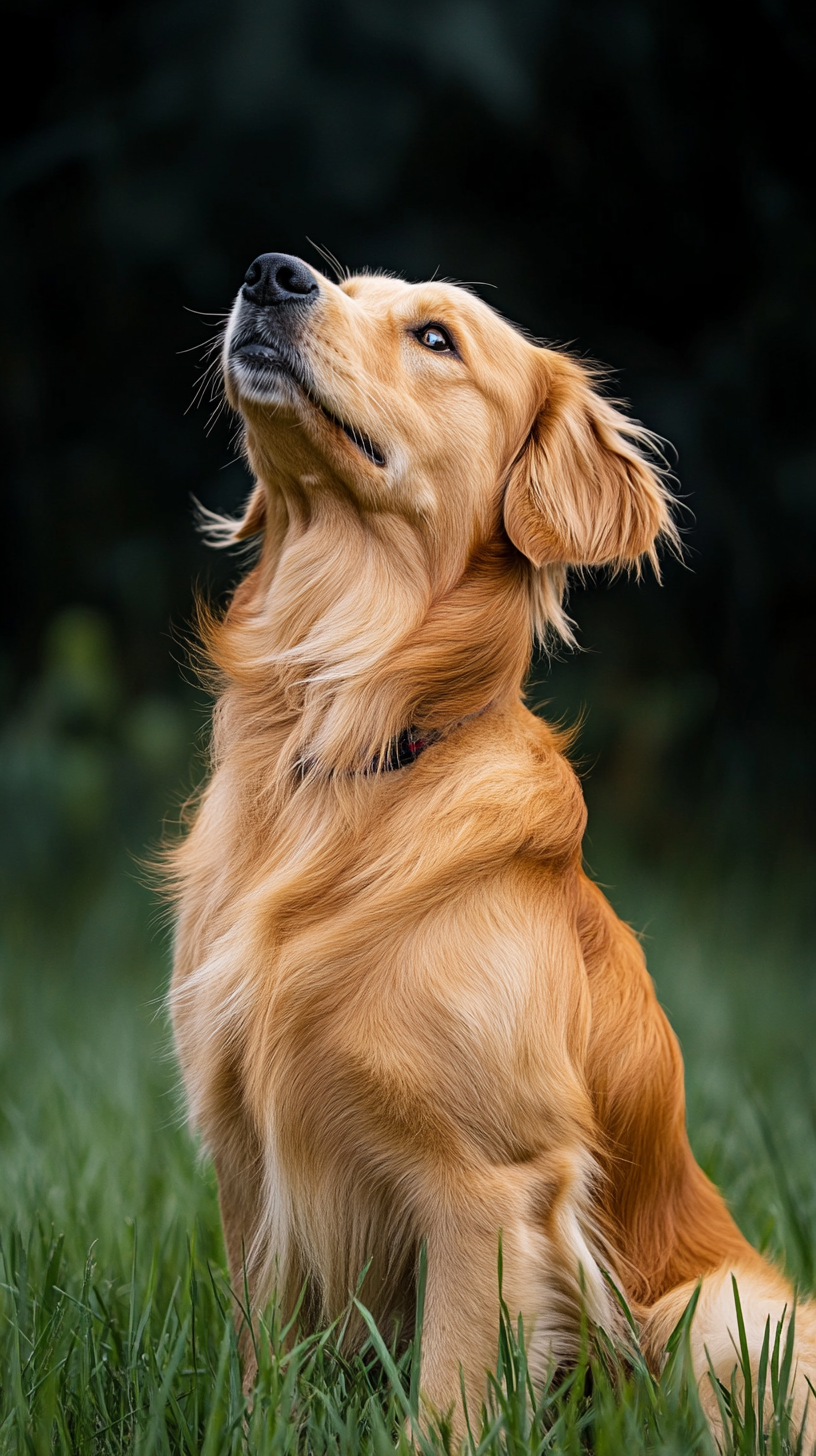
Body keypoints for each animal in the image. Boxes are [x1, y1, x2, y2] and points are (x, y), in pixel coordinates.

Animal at [169, 250, 810, 1432]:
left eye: (436, 338)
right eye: (342, 285)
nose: (271, 274)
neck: (346, 739)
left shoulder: (487, 1190)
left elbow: (449, 1404)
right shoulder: (249, 1170)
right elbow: (259, 1378)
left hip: (721, 1310)